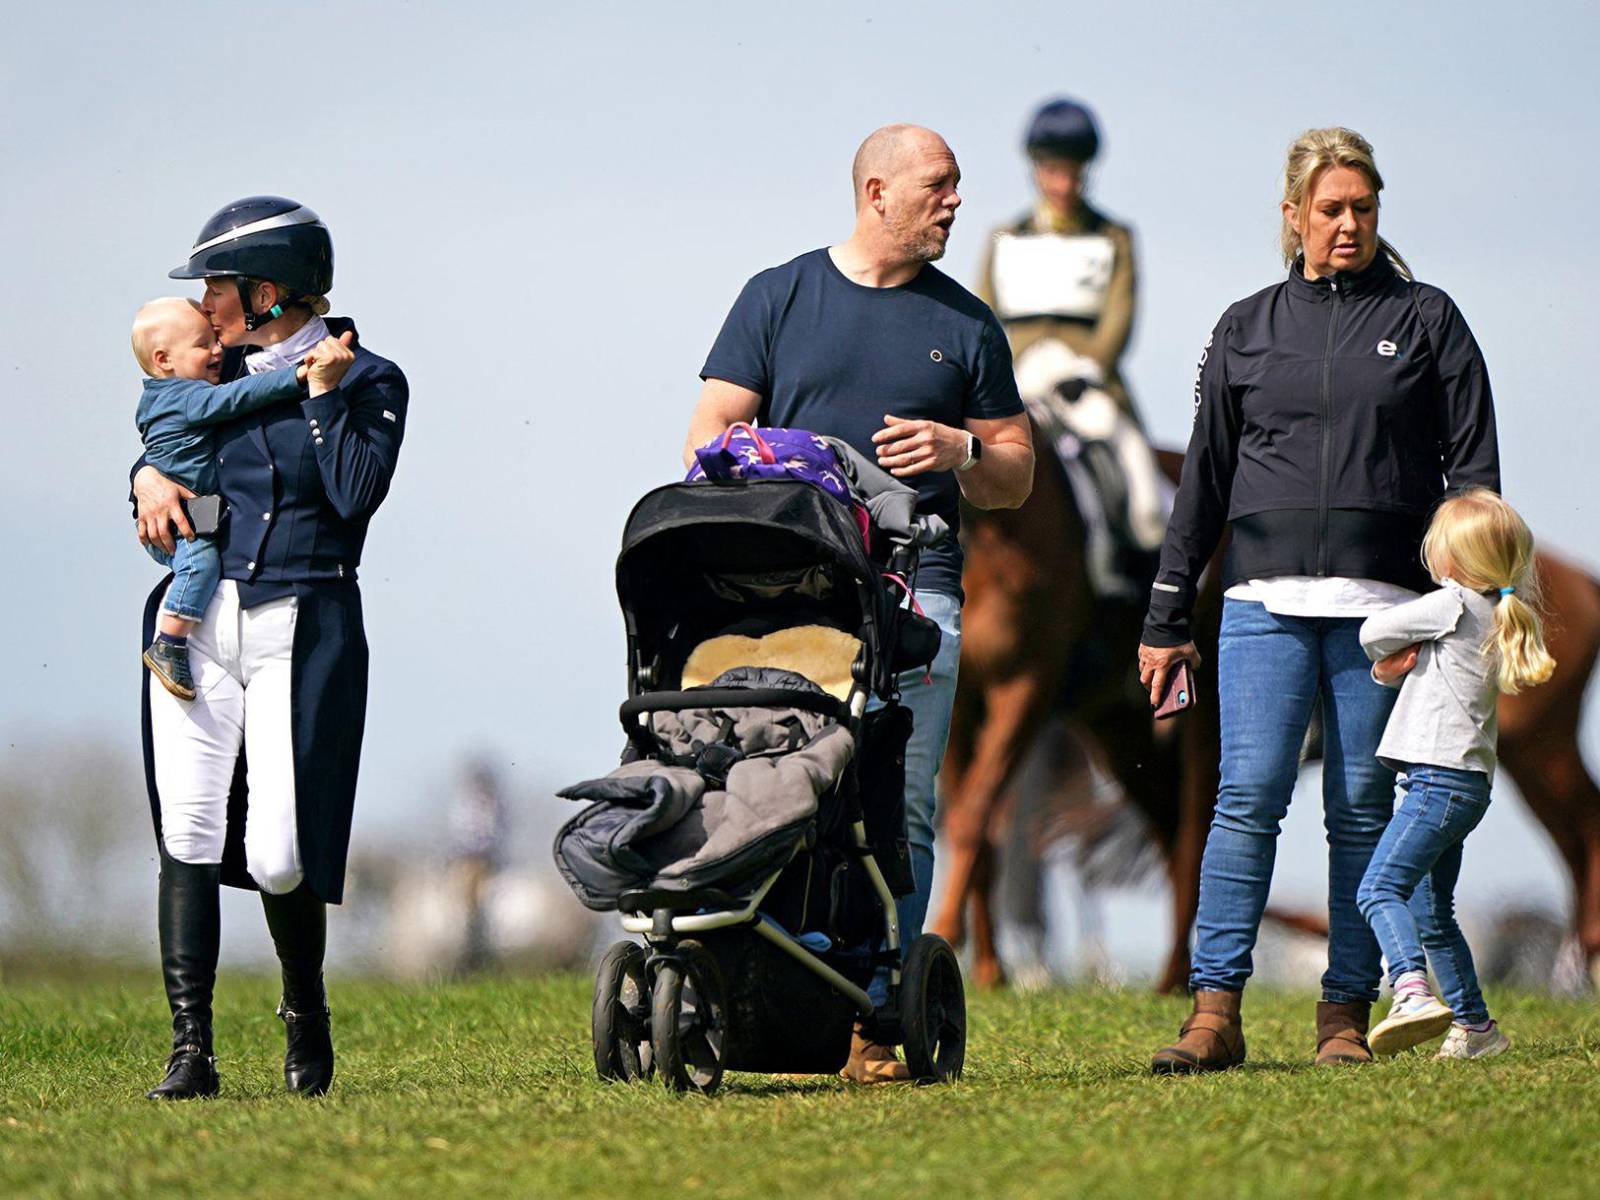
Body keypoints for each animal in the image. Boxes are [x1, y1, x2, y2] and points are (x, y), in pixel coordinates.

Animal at [934, 435, 1600, 998]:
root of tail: (1580, 583)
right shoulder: (965, 701)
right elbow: (976, 821)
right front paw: (983, 967)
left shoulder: (1028, 686)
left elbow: (975, 815)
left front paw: (950, 943)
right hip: (1126, 735)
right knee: (1177, 830)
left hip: (1538, 747)